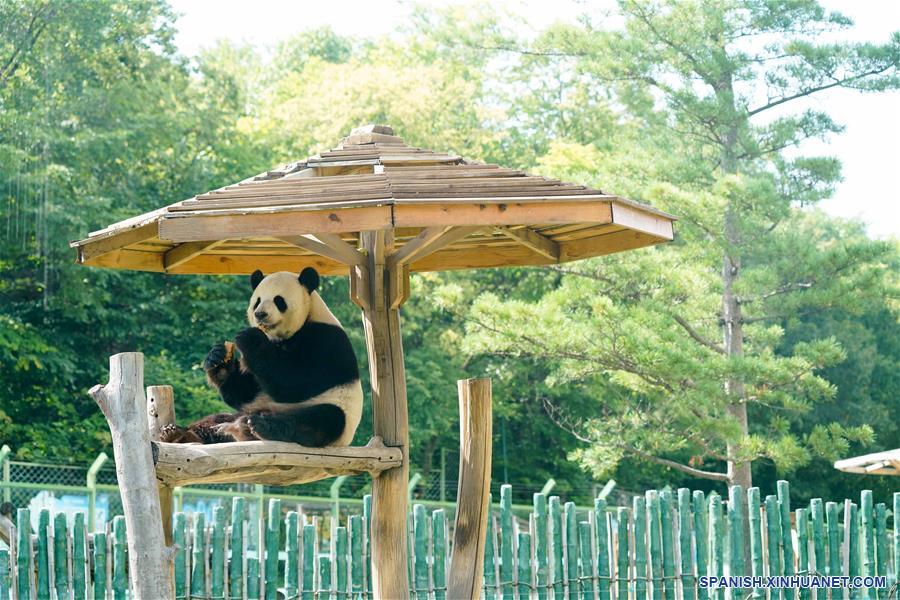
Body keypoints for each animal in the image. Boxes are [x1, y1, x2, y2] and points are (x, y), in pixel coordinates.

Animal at [162, 266, 362, 446]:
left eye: (279, 300)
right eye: (257, 301)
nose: (260, 314)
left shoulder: (327, 340)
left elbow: (296, 381)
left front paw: (250, 338)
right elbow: (245, 391)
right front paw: (218, 360)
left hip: (333, 414)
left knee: (323, 419)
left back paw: (263, 426)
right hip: (244, 412)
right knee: (216, 418)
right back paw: (181, 434)